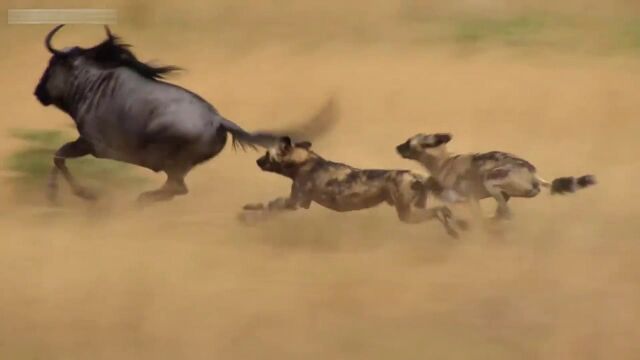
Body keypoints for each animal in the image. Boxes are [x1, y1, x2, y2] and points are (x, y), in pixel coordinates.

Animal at [239, 136, 464, 238]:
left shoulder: (294, 202)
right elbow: (269, 206)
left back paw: (455, 229)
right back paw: (457, 227)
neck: (304, 162)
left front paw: (247, 215)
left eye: (267, 155)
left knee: (440, 211)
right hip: (414, 210)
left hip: (407, 215)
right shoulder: (299, 202)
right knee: (443, 210)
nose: (257, 161)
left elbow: (268, 206)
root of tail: (415, 175)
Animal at [396, 133, 596, 219]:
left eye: (408, 143)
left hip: (492, 181)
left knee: (506, 213)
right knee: (502, 211)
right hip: (503, 192)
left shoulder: (468, 200)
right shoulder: (472, 200)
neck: (443, 161)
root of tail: (532, 173)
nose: (396, 147)